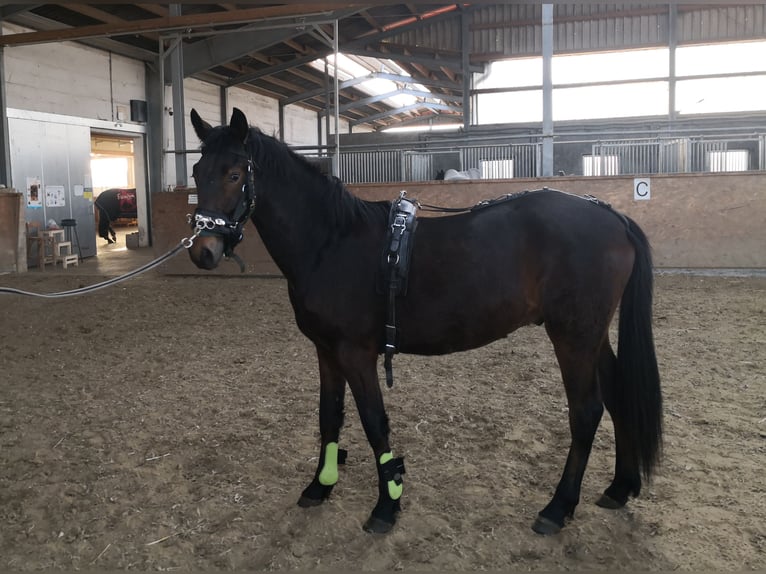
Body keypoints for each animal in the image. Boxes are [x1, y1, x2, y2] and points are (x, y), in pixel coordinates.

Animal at [187, 108, 663, 536]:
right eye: (196, 172)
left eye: (234, 174)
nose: (202, 251)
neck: (331, 242)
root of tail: (611, 215)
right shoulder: (325, 351)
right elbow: (329, 416)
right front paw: (320, 486)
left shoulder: (355, 354)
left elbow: (374, 422)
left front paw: (386, 505)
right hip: (591, 335)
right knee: (617, 396)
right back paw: (619, 487)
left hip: (573, 336)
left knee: (586, 412)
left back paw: (557, 508)